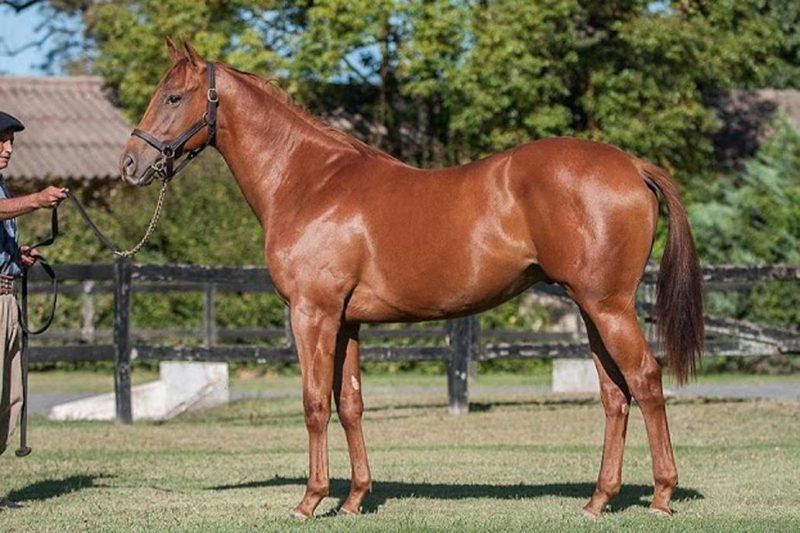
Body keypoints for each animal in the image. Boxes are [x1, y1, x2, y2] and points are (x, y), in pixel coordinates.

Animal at [121, 38, 703, 519]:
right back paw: (598, 500)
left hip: (608, 307)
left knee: (646, 381)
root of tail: (632, 165)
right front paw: (354, 499)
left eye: (173, 97)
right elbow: (350, 404)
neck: (310, 182)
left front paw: (311, 500)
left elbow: (314, 403)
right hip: (590, 309)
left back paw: (661, 496)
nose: (130, 163)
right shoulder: (347, 323)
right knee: (615, 395)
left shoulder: (313, 314)